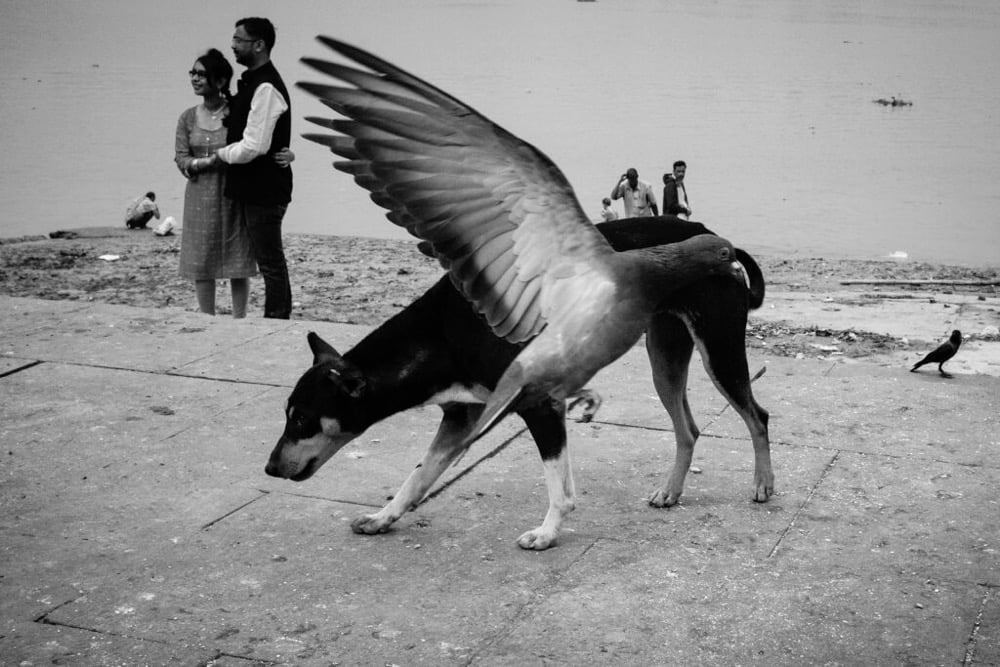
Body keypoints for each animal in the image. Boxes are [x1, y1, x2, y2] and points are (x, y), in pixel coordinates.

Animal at [266, 217, 772, 552]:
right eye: (289, 416)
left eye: (302, 419)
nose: (269, 469)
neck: (442, 333)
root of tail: (714, 235)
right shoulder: (463, 415)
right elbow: (418, 476)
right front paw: (382, 518)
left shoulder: (539, 404)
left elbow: (559, 487)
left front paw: (547, 532)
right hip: (664, 358)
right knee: (688, 428)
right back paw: (671, 491)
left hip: (719, 352)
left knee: (757, 416)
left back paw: (764, 484)